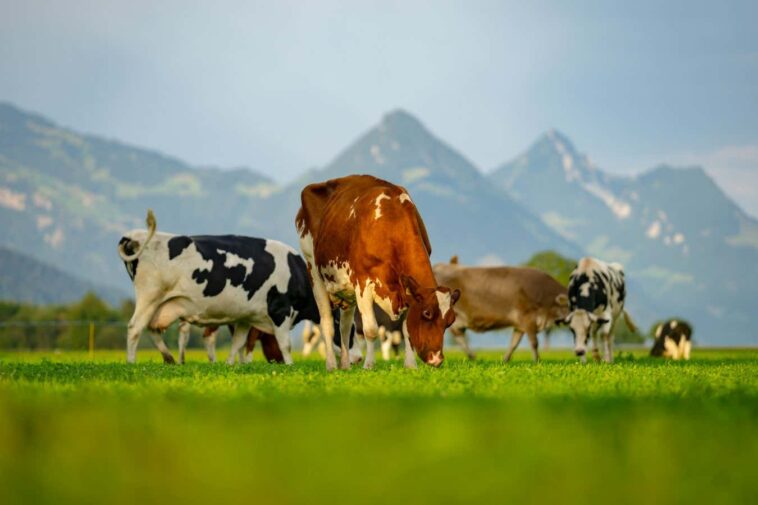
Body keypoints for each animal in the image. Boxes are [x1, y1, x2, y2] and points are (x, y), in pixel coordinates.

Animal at [117, 209, 321, 365]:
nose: (275, 361)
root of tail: (134, 235)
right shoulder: (280, 310)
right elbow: (283, 343)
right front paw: (289, 365)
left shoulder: (246, 317)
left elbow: (238, 342)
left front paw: (231, 364)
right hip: (150, 296)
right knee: (135, 327)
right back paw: (131, 363)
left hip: (161, 304)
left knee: (153, 329)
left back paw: (170, 359)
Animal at [296, 175, 460, 370]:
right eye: (427, 313)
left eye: (450, 321)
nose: (436, 359)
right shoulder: (363, 283)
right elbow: (371, 329)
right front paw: (369, 365)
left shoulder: (405, 291)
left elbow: (406, 330)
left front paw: (410, 365)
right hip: (314, 271)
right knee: (327, 322)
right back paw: (331, 365)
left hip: (346, 290)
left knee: (345, 326)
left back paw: (345, 365)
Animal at [433, 256, 569, 363]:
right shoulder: (528, 317)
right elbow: (534, 342)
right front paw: (537, 361)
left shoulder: (520, 324)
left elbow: (514, 343)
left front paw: (505, 360)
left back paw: (472, 357)